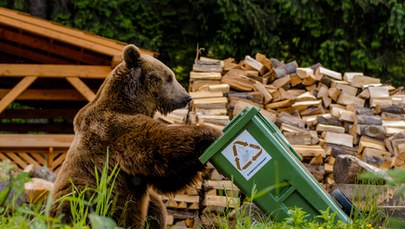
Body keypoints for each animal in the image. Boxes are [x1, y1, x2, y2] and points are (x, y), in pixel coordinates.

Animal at [49, 43, 224, 228]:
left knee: (155, 207)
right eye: (169, 77)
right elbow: (161, 146)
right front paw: (212, 133)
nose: (186, 97)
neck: (130, 102)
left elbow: (169, 177)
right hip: (86, 197)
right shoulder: (117, 131)